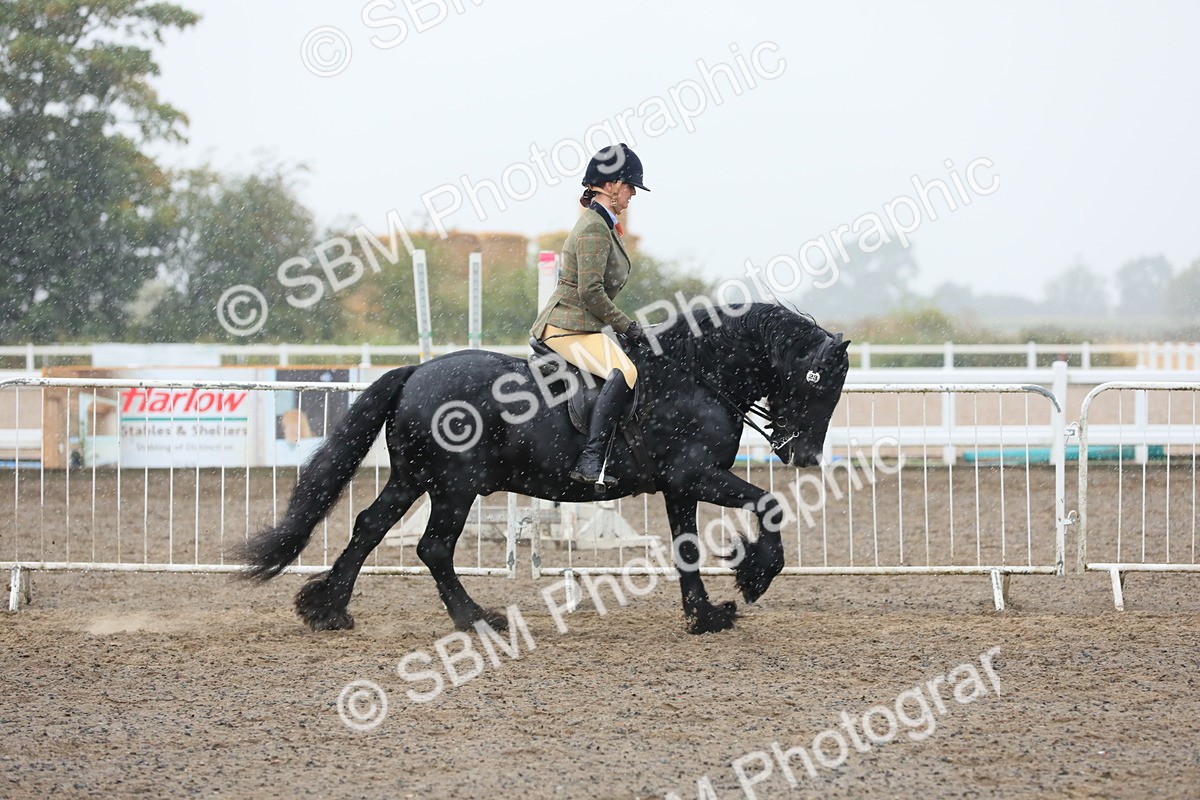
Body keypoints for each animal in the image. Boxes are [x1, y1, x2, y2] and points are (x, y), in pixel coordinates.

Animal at [241, 302, 851, 635]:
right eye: (817, 383)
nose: (804, 455)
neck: (695, 375)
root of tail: (416, 373)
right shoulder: (694, 476)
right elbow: (767, 504)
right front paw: (754, 575)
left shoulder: (680, 486)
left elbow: (686, 547)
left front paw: (705, 616)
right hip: (453, 487)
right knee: (433, 547)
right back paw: (477, 619)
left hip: (415, 478)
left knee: (368, 526)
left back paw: (328, 609)